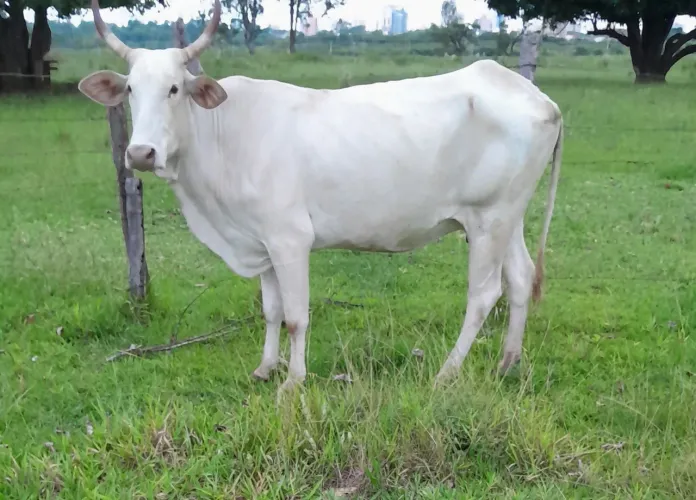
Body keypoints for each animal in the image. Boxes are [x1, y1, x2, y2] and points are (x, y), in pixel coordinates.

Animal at [78, 0, 563, 396]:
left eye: (174, 89)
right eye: (130, 90)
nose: (140, 153)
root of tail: (539, 99)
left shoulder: (290, 238)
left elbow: (296, 315)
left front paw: (293, 381)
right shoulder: (260, 241)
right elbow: (271, 310)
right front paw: (265, 367)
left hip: (488, 219)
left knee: (484, 295)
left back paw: (448, 372)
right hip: (507, 219)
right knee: (521, 278)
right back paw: (508, 363)